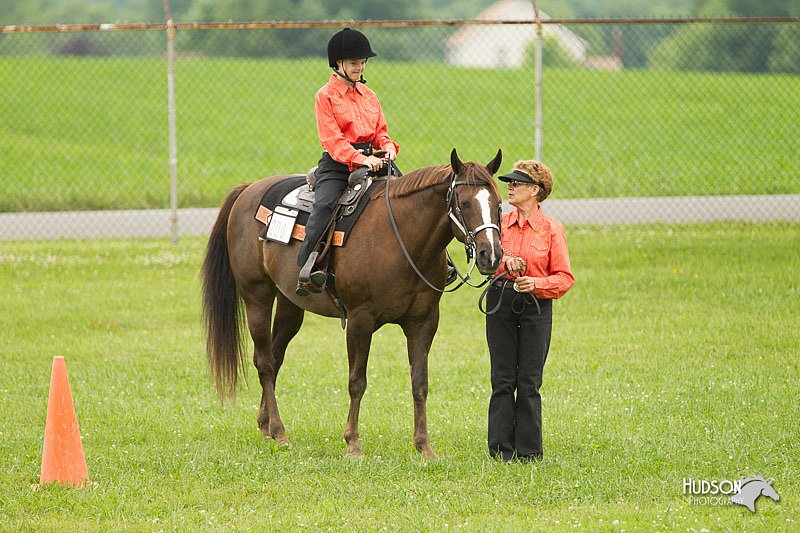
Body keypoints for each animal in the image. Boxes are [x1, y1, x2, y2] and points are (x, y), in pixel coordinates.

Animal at [202, 149, 500, 458]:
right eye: (464, 203)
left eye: (499, 204)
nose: (491, 255)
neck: (399, 238)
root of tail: (249, 188)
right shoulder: (360, 319)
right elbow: (357, 382)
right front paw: (353, 443)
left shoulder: (424, 321)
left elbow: (420, 383)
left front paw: (424, 447)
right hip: (257, 297)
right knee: (265, 363)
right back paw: (279, 431)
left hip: (289, 305)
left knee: (275, 356)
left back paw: (265, 425)